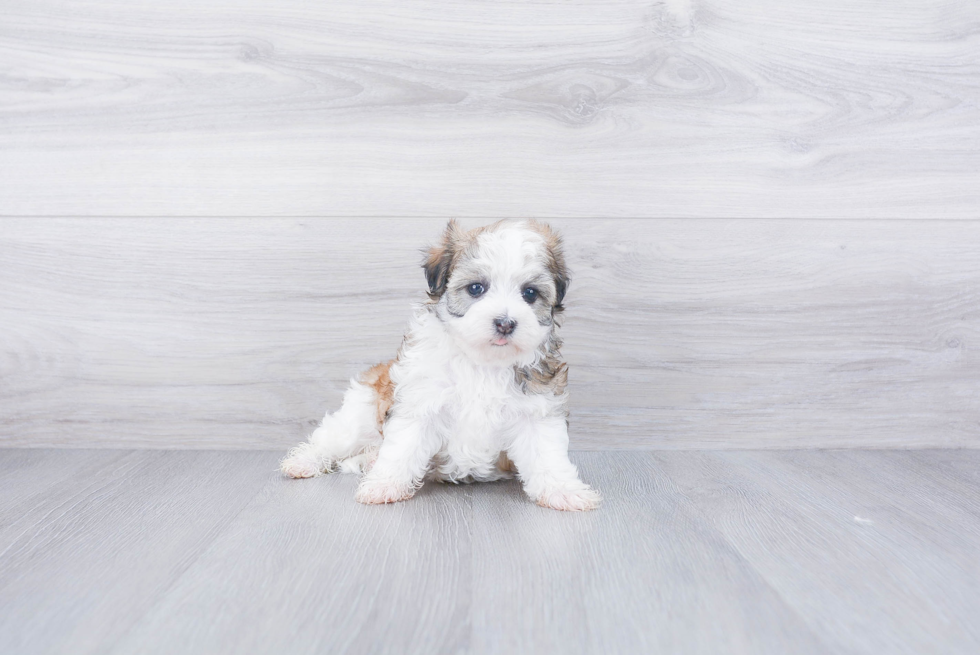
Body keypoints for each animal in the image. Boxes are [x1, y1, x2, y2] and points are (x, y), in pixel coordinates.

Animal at [280, 220, 600, 512]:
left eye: (530, 293)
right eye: (476, 288)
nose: (506, 323)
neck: (482, 362)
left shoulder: (538, 407)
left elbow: (546, 452)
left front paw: (564, 491)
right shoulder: (420, 400)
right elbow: (402, 446)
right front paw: (384, 484)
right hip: (360, 413)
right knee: (335, 439)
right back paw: (304, 461)